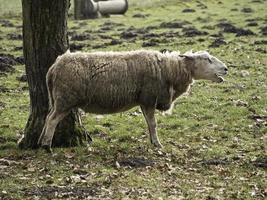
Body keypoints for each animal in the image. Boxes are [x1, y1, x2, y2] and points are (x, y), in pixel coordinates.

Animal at [38, 49, 229, 152]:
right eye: (207, 59)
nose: (226, 69)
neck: (169, 70)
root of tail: (53, 68)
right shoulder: (149, 98)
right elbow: (153, 124)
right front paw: (157, 144)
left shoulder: (144, 101)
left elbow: (149, 124)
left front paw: (152, 141)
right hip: (65, 99)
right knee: (52, 119)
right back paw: (46, 145)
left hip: (57, 99)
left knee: (47, 117)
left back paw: (40, 141)